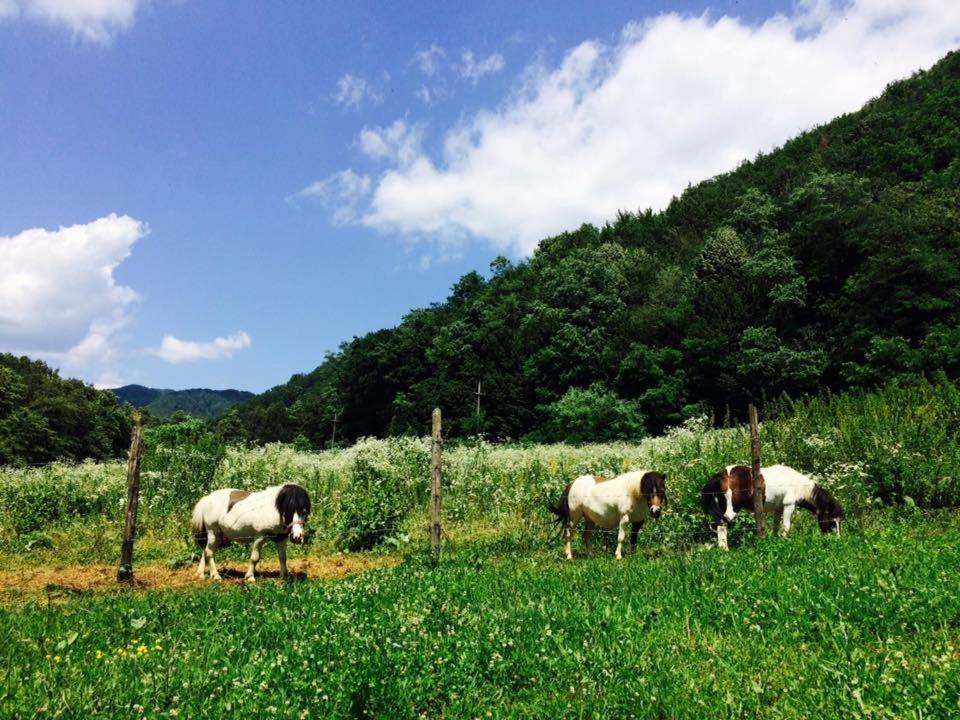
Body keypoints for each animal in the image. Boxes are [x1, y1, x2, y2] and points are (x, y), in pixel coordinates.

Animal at [700, 464, 844, 548]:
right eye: (831, 521)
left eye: (839, 522)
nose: (837, 540)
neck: (798, 485)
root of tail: (722, 474)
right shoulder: (788, 506)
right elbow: (786, 527)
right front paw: (784, 542)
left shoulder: (778, 508)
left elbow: (776, 526)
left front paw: (775, 541)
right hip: (732, 509)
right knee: (722, 525)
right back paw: (724, 550)